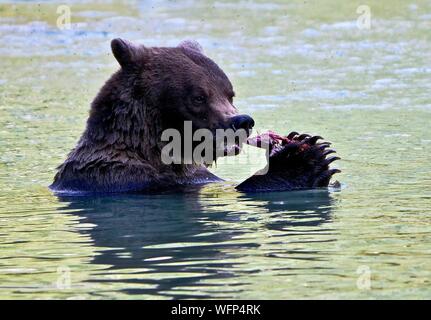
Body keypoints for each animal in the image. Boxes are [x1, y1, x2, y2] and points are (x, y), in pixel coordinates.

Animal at [51, 37, 340, 192]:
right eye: (199, 97)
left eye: (229, 93)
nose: (241, 121)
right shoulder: (126, 180)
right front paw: (304, 159)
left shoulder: (197, 178)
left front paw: (303, 142)